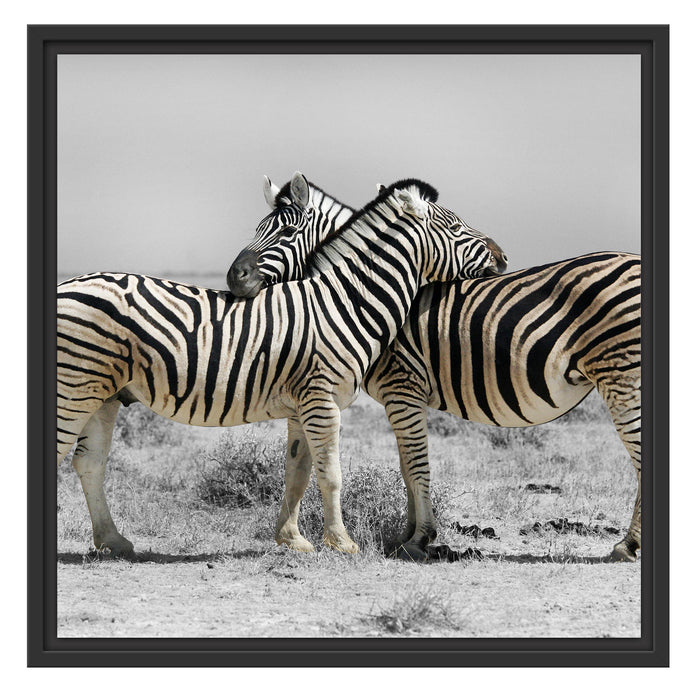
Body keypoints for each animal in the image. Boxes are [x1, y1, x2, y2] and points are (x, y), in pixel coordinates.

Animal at [57, 176, 503, 556]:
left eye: (287, 233)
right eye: (457, 228)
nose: (502, 256)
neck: (343, 302)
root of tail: (67, 284)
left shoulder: (303, 404)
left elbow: (298, 471)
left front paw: (292, 539)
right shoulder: (322, 401)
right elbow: (331, 474)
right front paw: (342, 543)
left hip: (104, 395)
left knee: (88, 462)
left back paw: (114, 541)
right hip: (74, 388)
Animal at [228, 178, 640, 563]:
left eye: (285, 232)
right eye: (259, 228)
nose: (234, 278)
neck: (357, 295)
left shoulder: (402, 387)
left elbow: (416, 465)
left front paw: (420, 539)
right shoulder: (400, 398)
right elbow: (406, 466)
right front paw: (407, 535)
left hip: (621, 375)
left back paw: (627, 545)